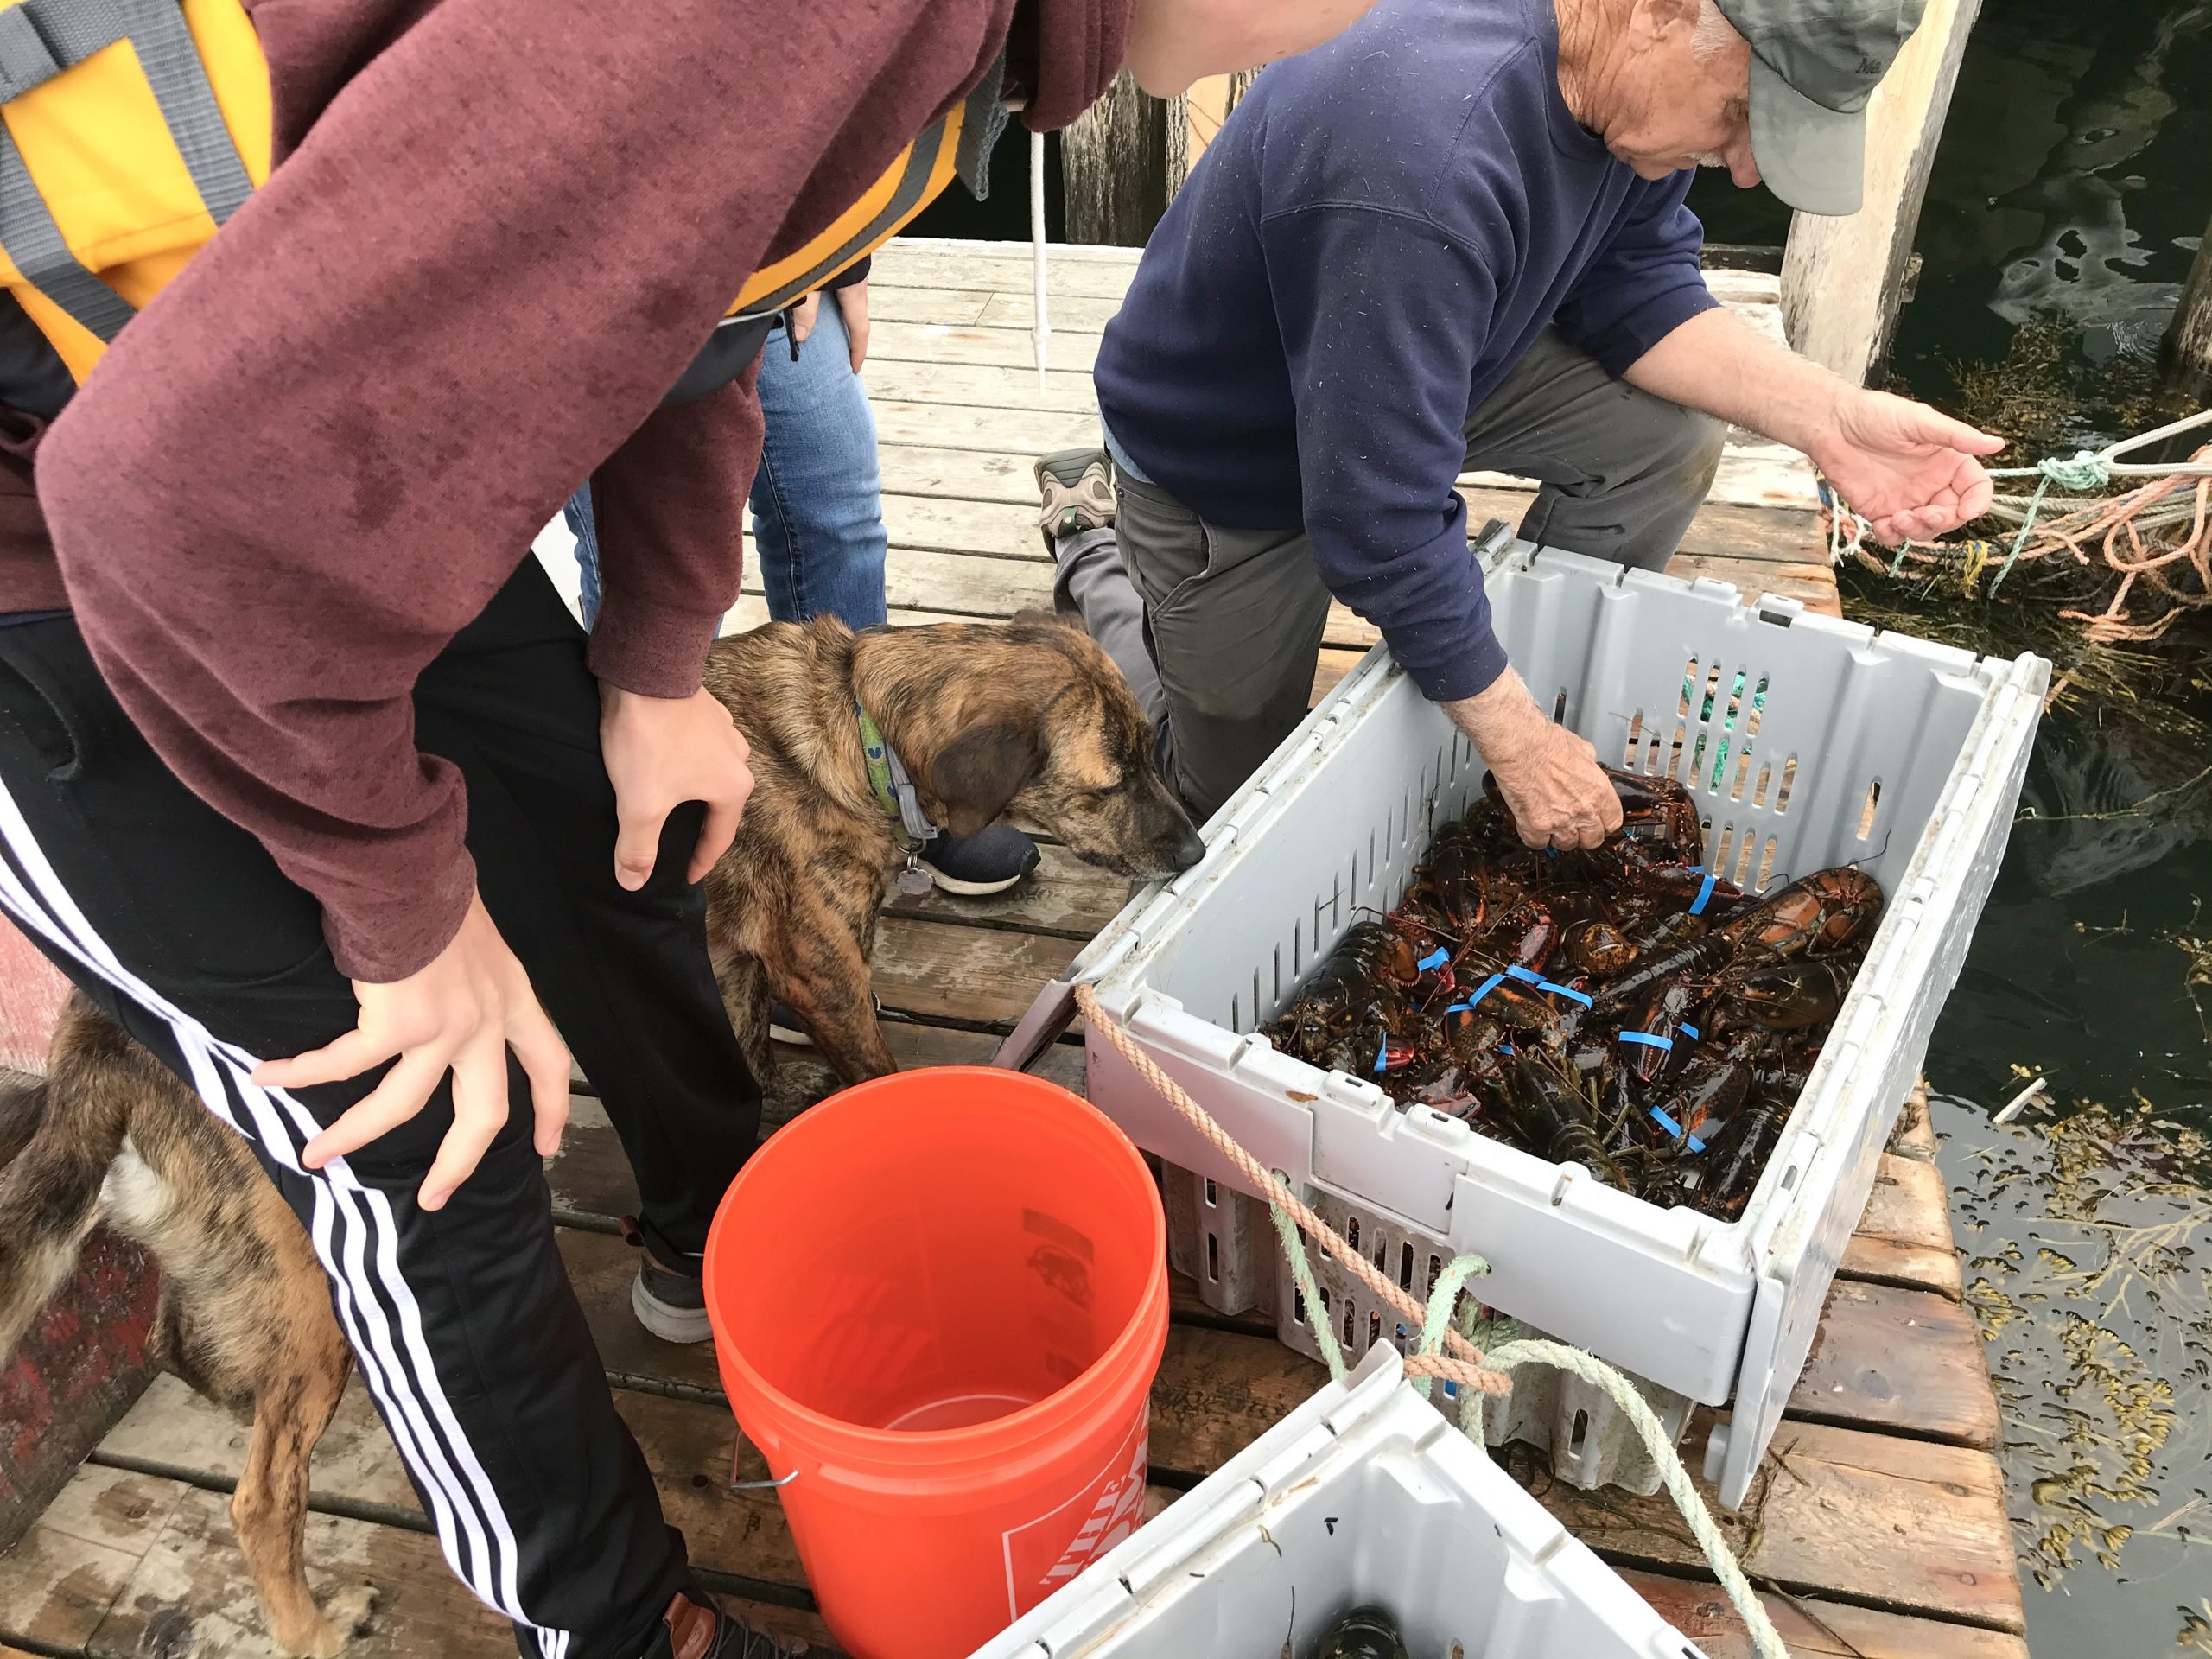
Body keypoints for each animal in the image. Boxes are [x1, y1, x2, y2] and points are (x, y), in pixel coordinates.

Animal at [698, 610, 1203, 1092]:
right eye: (1112, 786)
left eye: (1150, 751)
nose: (1195, 852)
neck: (865, 741)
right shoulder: (825, 983)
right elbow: (875, 1071)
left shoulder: (732, 960)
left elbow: (747, 1047)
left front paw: (776, 1089)